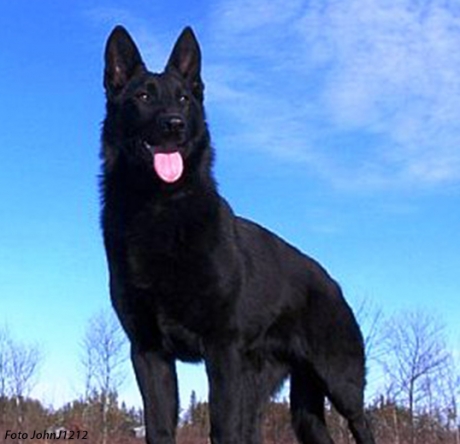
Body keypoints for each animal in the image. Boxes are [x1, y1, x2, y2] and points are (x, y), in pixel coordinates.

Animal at [99, 25, 374, 444]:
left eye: (183, 98)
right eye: (143, 96)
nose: (175, 124)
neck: (161, 208)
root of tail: (332, 283)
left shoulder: (222, 350)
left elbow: (223, 428)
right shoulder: (149, 353)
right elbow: (160, 429)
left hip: (341, 385)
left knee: (362, 423)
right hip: (284, 399)